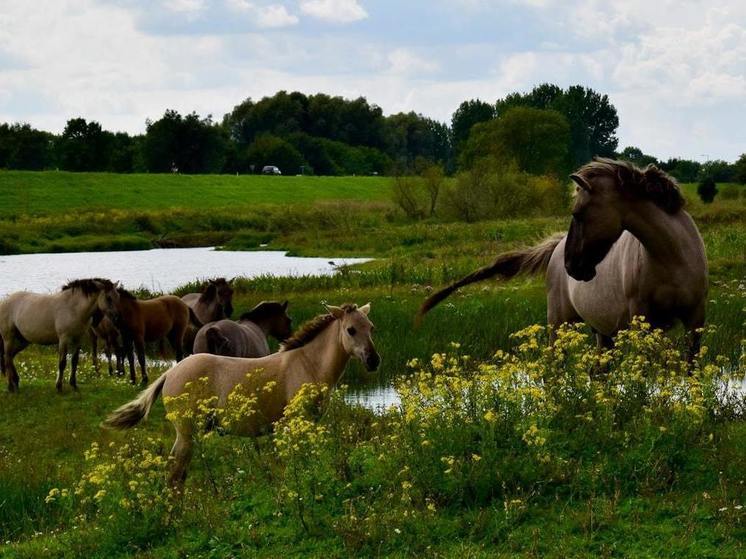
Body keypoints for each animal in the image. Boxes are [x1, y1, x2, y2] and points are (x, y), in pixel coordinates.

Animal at [104, 302, 378, 486]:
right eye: (351, 330)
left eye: (371, 328)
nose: (374, 361)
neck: (307, 363)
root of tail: (170, 373)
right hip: (187, 433)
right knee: (175, 476)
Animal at [416, 159, 708, 358]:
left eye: (578, 213)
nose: (572, 266)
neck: (670, 258)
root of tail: (556, 248)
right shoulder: (642, 320)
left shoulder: (694, 322)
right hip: (559, 323)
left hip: (602, 332)